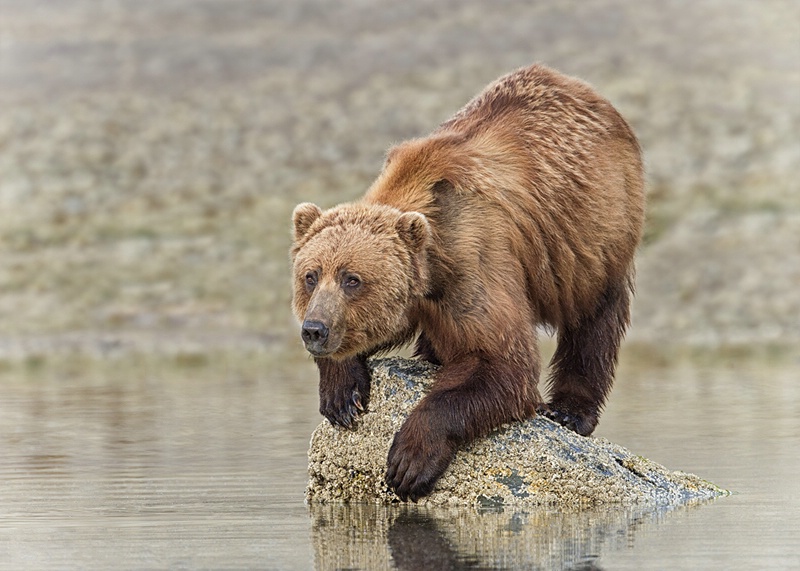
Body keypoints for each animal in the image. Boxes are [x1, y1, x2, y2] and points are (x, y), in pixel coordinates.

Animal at [288, 63, 644, 500]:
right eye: (310, 275)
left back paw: (569, 410)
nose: (314, 330)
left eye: (352, 279)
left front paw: (410, 460)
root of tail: (584, 91)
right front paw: (342, 395)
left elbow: (499, 363)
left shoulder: (475, 255)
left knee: (594, 315)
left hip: (592, 230)